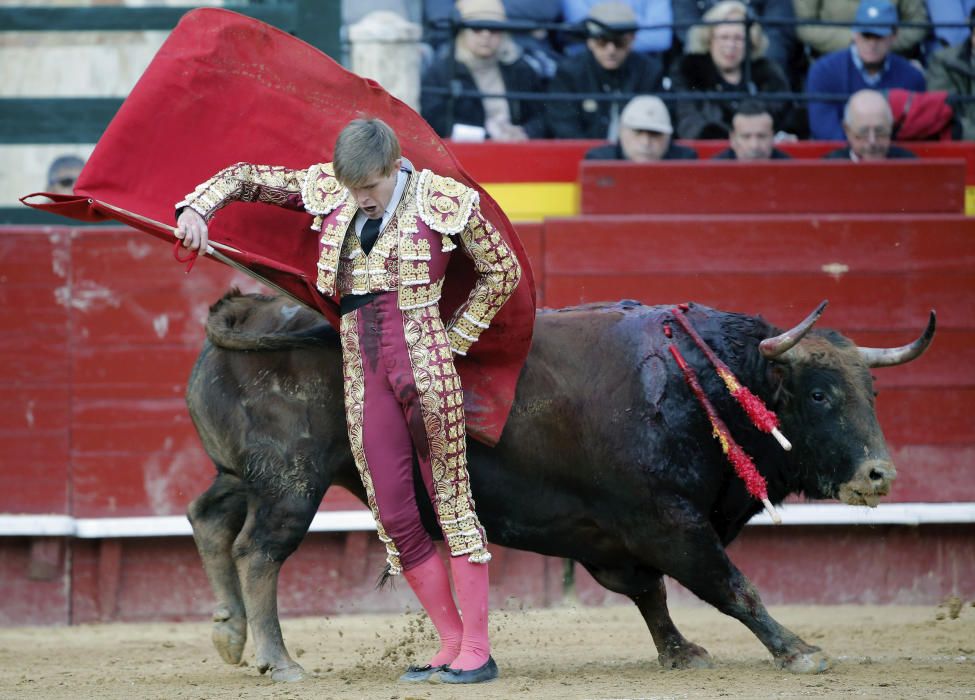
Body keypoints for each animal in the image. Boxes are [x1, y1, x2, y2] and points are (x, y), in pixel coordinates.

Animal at [185, 290, 936, 680]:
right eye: (817, 394)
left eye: (870, 390)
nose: (879, 473)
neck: (703, 385)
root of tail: (252, 309)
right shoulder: (667, 521)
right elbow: (729, 585)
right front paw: (797, 650)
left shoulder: (614, 535)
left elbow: (650, 593)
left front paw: (679, 652)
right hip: (292, 481)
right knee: (259, 551)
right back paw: (277, 659)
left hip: (243, 474)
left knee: (209, 519)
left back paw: (229, 635)